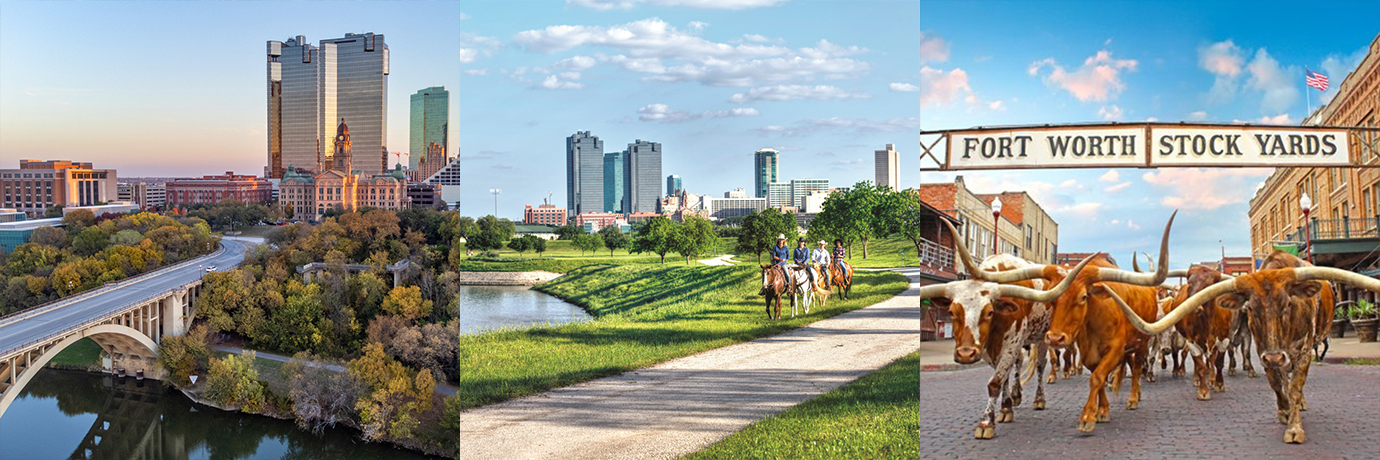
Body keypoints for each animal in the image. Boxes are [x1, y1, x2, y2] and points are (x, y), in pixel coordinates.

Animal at [916, 223, 1098, 439]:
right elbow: (1002, 377)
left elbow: (995, 381)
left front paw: (986, 423)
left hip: (1042, 337)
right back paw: (1016, 395)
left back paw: (1039, 399)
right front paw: (1005, 407)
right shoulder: (989, 348)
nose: (966, 354)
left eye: (989, 312)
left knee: (1041, 365)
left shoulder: (1012, 342)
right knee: (1018, 363)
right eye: (952, 312)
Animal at [1104, 248, 1380, 442]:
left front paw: (1294, 426)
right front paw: (1204, 389)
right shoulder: (1257, 351)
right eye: (1190, 281)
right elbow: (1271, 383)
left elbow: (1291, 386)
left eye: (1289, 304)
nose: (1195, 301)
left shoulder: (1294, 351)